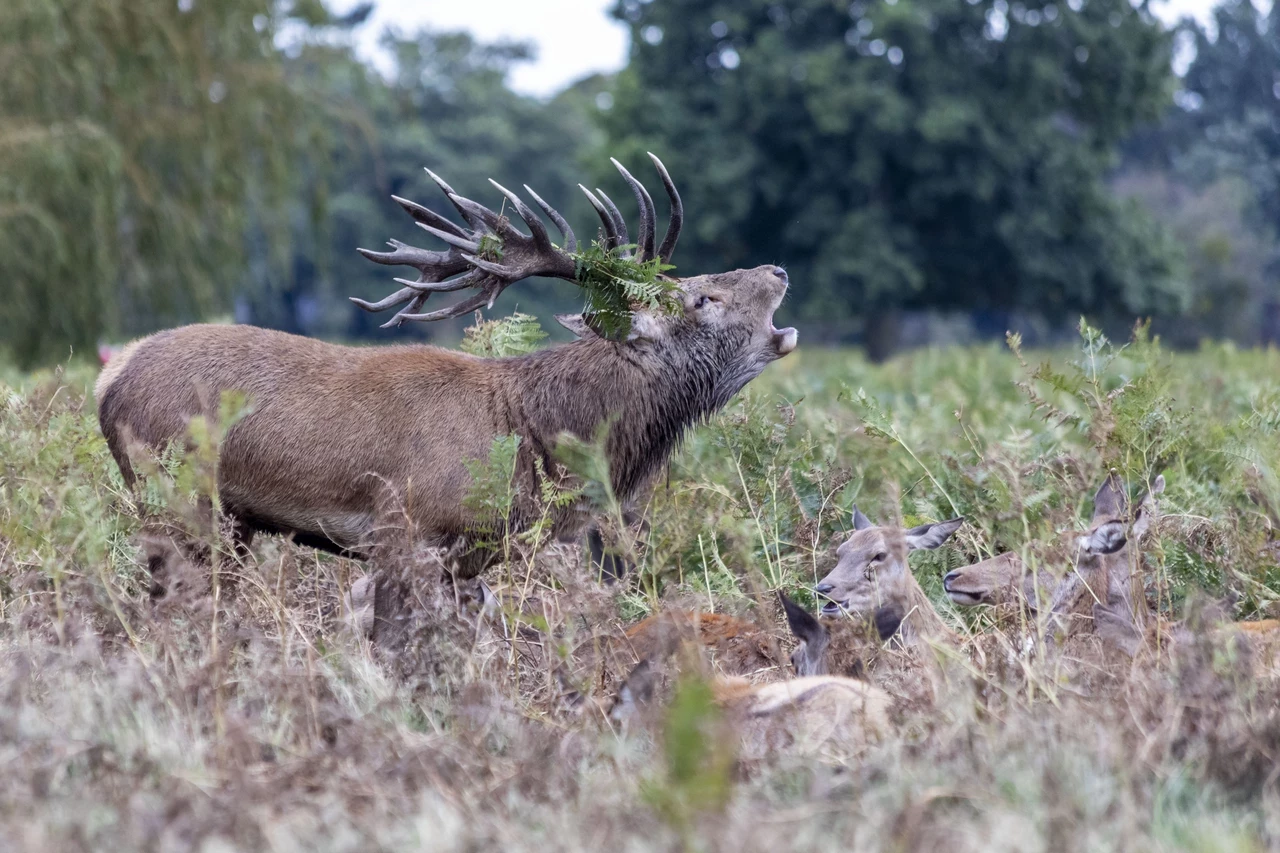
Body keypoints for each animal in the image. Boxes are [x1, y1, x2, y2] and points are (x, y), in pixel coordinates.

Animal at [99, 154, 793, 578]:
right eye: (702, 299)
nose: (778, 269)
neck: (532, 440)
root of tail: (109, 380)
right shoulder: (412, 530)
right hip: (176, 497)